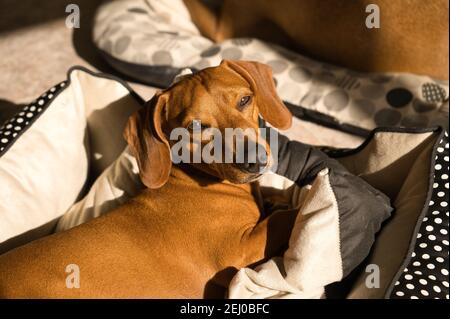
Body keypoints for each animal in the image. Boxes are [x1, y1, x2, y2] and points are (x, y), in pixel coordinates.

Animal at [0, 60, 296, 300]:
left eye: (245, 100)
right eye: (196, 127)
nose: (254, 160)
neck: (195, 179)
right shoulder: (237, 251)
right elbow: (283, 217)